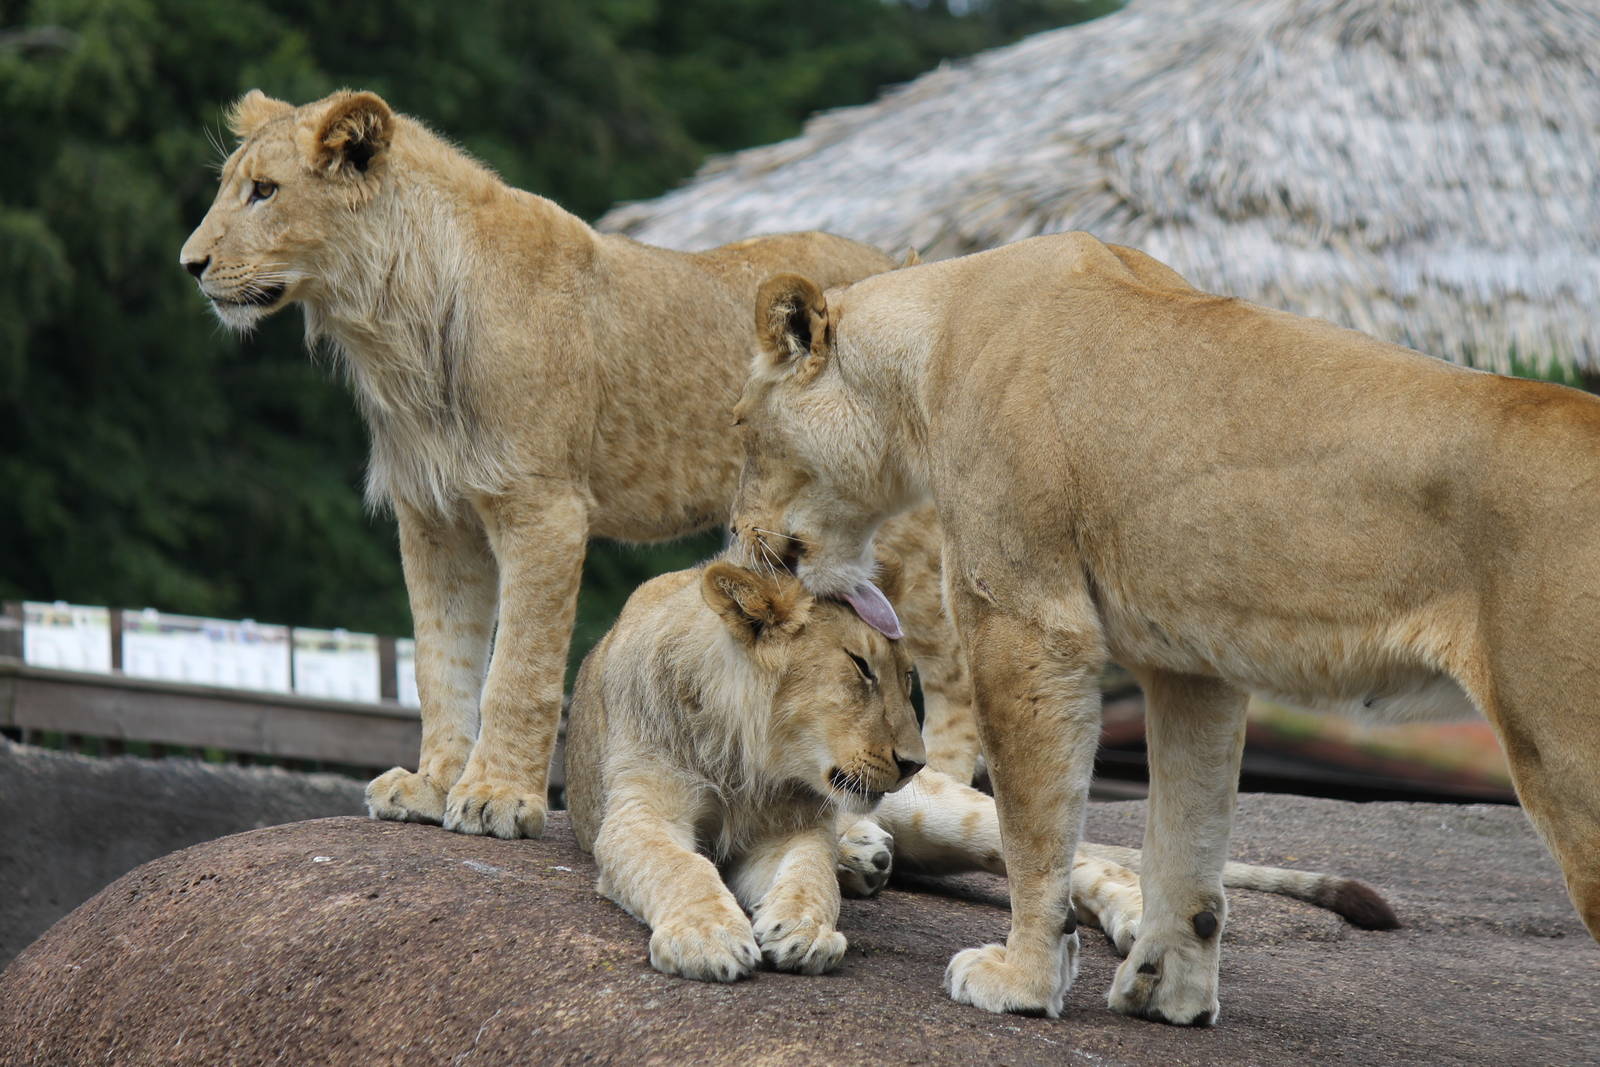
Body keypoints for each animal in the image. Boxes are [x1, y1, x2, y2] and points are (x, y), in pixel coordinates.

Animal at [177, 89, 977, 841]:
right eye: (234, 185)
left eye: (265, 191)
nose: (189, 265)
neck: (393, 324)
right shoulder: (434, 516)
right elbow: (441, 660)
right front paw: (432, 786)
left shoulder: (543, 506)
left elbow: (518, 668)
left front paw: (497, 798)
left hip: (898, 540)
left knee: (951, 673)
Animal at [566, 553, 1396, 981]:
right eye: (859, 669)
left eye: (908, 680)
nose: (911, 758)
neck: (745, 751)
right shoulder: (635, 815)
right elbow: (683, 868)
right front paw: (710, 937)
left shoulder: (791, 827)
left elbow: (805, 876)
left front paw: (804, 929)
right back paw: (864, 856)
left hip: (947, 813)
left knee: (1078, 862)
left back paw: (1137, 921)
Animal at [731, 231, 1600, 1024]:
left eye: (741, 425)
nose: (737, 533)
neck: (933, 336)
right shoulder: (1194, 666)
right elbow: (1185, 841)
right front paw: (1167, 994)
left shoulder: (1026, 621)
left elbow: (1034, 830)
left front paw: (1022, 981)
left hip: (1566, 755)